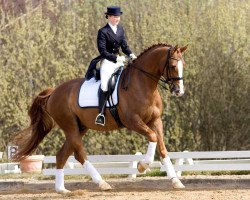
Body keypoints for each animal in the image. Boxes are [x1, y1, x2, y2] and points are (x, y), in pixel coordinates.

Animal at [13, 43, 188, 194]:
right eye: (173, 66)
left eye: (183, 65)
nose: (179, 91)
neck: (143, 85)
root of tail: (54, 92)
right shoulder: (133, 121)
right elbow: (152, 137)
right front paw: (142, 166)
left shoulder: (156, 121)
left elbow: (162, 148)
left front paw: (175, 181)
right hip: (70, 126)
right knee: (79, 154)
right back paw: (102, 183)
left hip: (80, 127)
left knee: (62, 155)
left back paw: (61, 189)